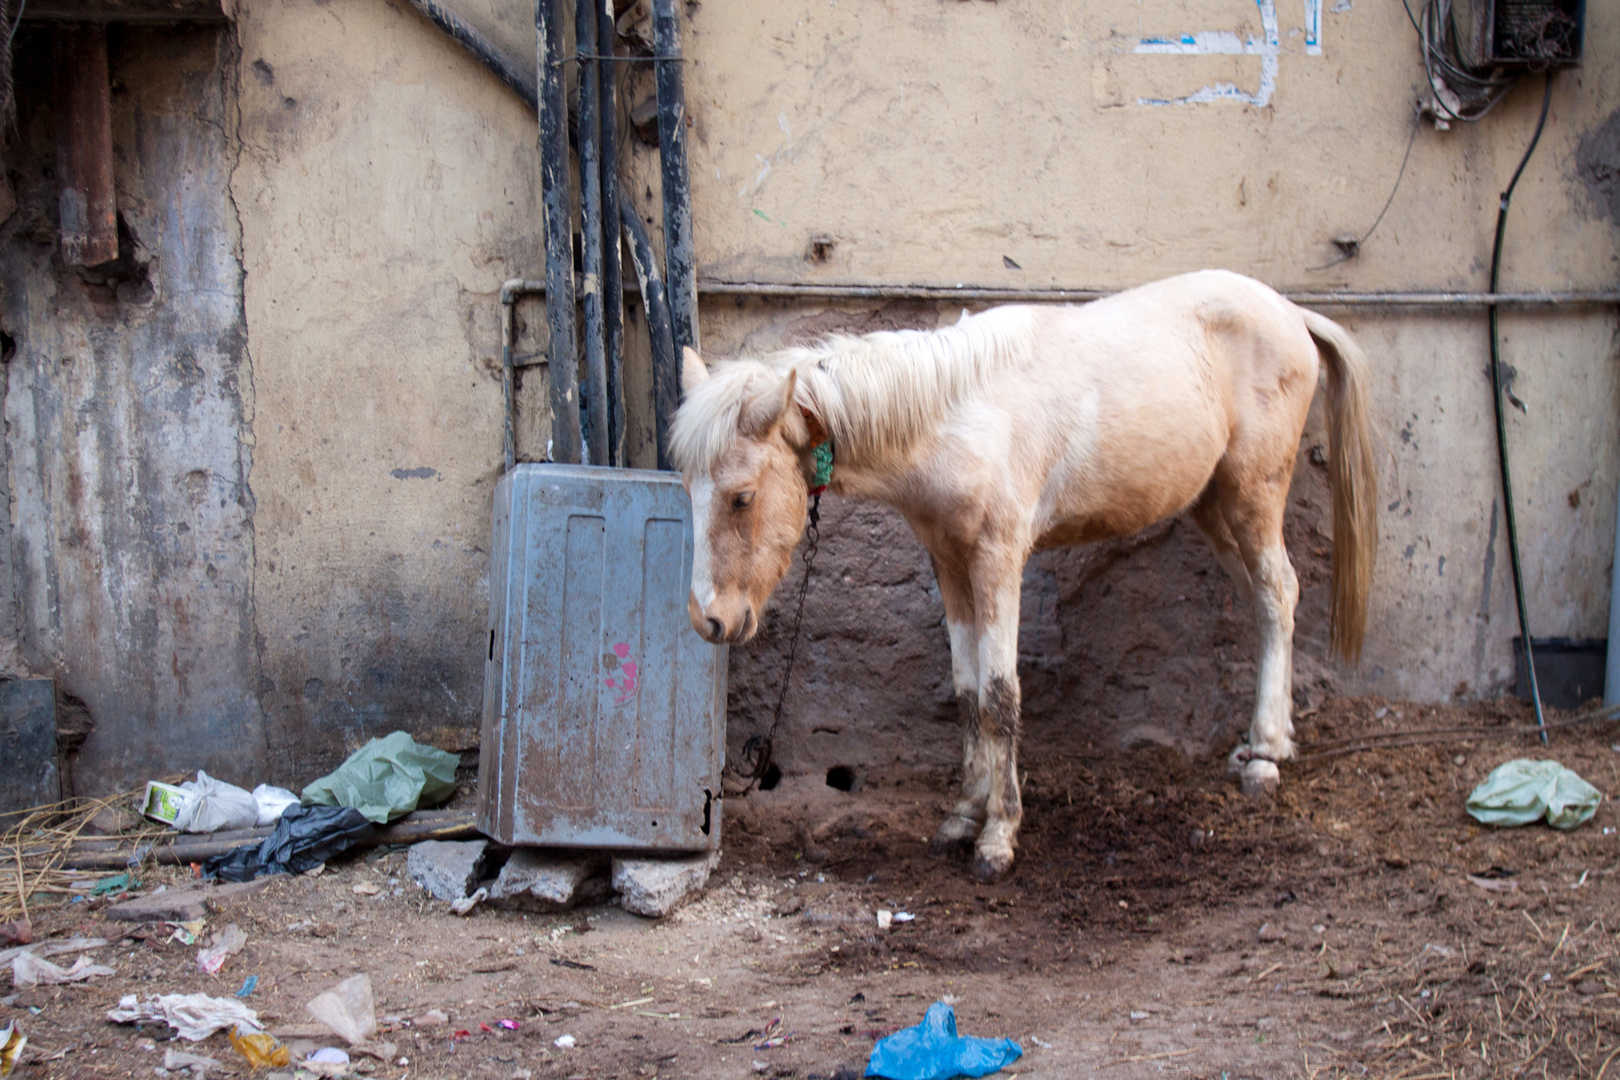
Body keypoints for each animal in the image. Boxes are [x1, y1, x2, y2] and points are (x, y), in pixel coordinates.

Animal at [673, 270, 1380, 880]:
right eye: (688, 488)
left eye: (740, 497)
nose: (709, 619)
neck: (954, 417)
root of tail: (1291, 313)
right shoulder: (950, 561)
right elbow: (966, 692)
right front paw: (963, 814)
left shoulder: (998, 559)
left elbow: (1000, 694)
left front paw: (998, 835)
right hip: (1212, 504)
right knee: (1264, 602)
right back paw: (1267, 745)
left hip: (1252, 492)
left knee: (1279, 592)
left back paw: (1263, 758)